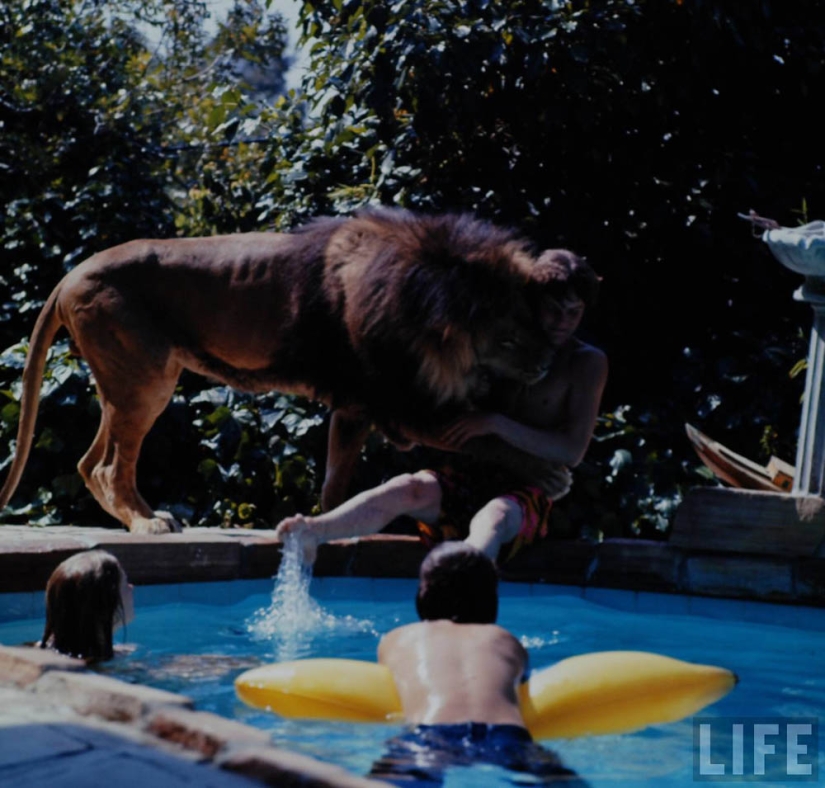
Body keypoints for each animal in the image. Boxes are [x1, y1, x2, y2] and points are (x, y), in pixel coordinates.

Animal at [0, 208, 562, 534]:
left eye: (536, 322)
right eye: (508, 337)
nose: (544, 365)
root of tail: (71, 273)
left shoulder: (371, 406)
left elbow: (339, 478)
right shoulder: (385, 402)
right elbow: (482, 440)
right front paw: (549, 473)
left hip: (124, 384)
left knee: (89, 463)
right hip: (146, 381)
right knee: (108, 467)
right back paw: (146, 524)